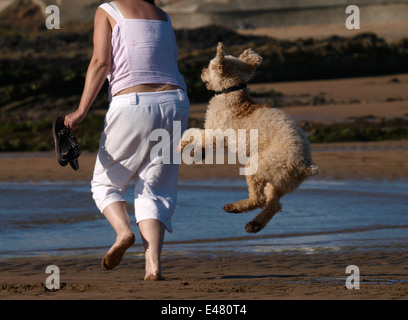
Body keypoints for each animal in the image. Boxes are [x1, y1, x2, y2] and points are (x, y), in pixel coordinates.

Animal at [178, 42, 318, 232]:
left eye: (210, 65)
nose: (201, 71)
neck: (231, 92)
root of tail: (304, 166)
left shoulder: (214, 132)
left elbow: (193, 133)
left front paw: (183, 146)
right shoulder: (215, 136)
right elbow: (199, 138)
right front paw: (196, 153)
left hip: (259, 167)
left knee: (259, 200)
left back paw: (234, 208)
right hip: (279, 181)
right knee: (273, 204)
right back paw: (254, 224)